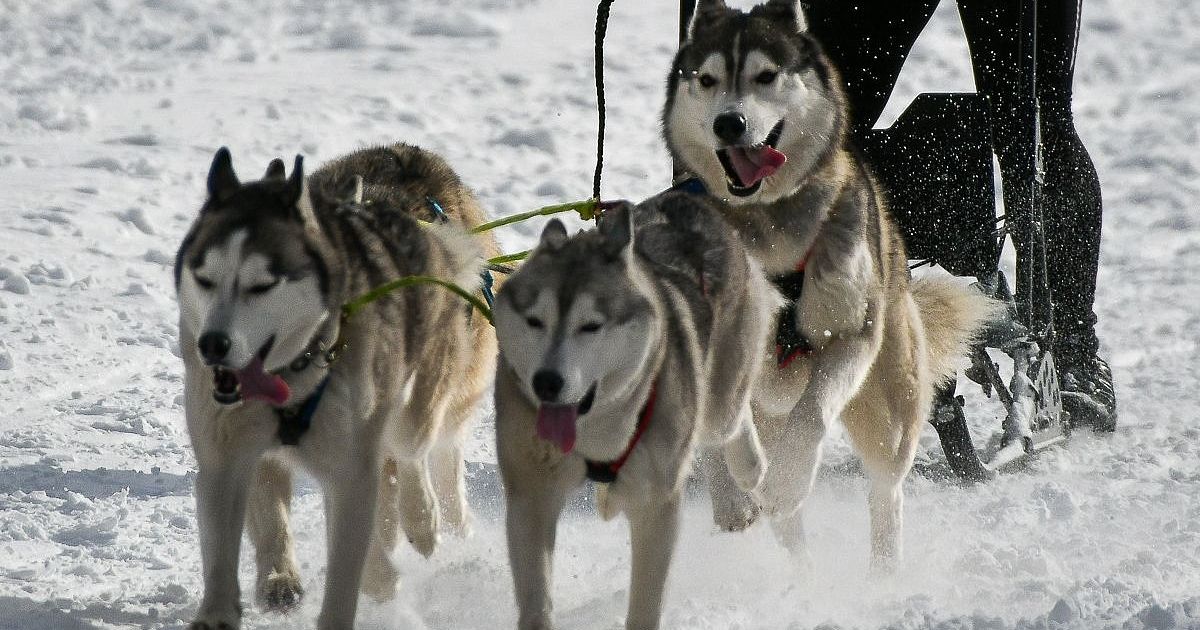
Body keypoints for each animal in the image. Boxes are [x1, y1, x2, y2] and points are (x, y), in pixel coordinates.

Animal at [175, 143, 496, 628]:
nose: (212, 345)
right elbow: (263, 517)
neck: (294, 378)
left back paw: (423, 519)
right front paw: (276, 581)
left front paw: (382, 569)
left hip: (423, 401)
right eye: (205, 279)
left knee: (414, 449)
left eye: (263, 285)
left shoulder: (352, 464)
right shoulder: (232, 455)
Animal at [492, 193, 772, 628]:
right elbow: (536, 601)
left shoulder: (655, 506)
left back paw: (749, 465)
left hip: (722, 397)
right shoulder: (531, 498)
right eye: (535, 321)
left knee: (727, 417)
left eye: (591, 326)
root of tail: (688, 197)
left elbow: (646, 604)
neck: (596, 431)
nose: (546, 383)